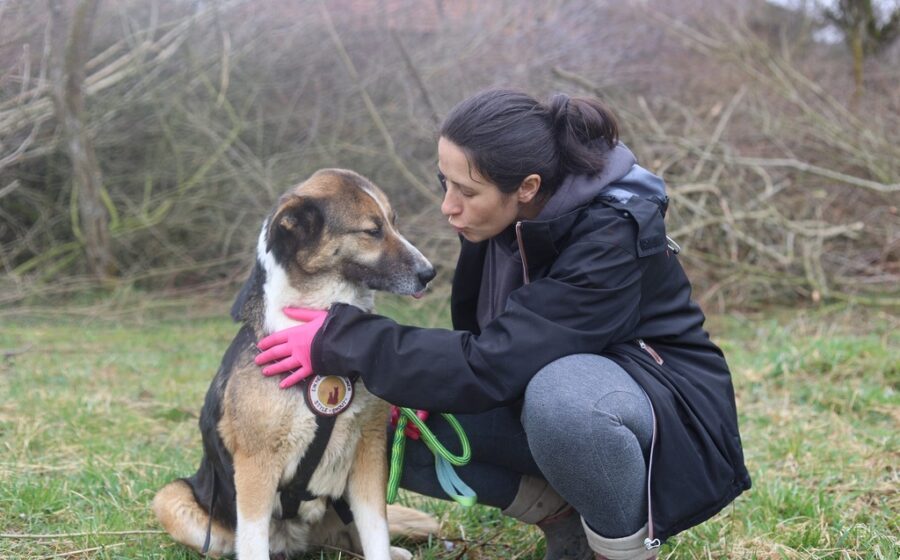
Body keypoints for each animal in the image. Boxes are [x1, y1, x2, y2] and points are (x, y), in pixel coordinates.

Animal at [153, 169, 440, 559]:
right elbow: (252, 542)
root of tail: (294, 542)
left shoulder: (369, 451)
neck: (322, 342)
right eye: (372, 230)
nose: (430, 273)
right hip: (171, 498)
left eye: (393, 222)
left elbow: (376, 532)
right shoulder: (256, 466)